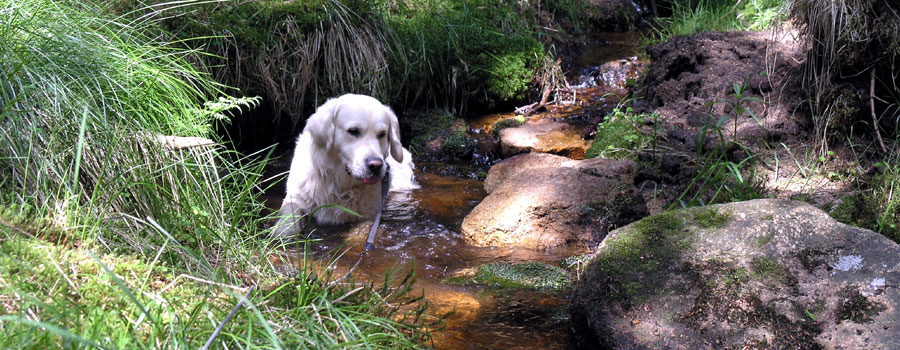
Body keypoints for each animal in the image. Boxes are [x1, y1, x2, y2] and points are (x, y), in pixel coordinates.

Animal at [272, 93, 416, 238]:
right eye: (353, 131)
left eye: (382, 134)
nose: (376, 165)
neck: (339, 185)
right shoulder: (296, 195)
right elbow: (289, 212)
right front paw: (283, 232)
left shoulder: (370, 212)